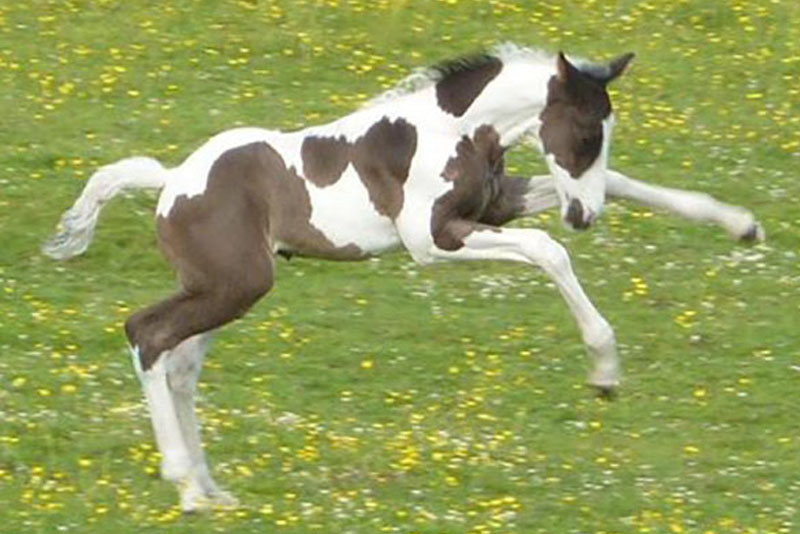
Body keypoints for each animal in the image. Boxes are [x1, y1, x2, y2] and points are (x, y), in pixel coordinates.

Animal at [42, 47, 764, 516]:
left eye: (605, 134)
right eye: (584, 132)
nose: (583, 217)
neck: (454, 131)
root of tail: (171, 183)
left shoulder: (493, 207)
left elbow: (622, 189)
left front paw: (741, 224)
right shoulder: (433, 240)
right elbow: (546, 251)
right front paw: (605, 369)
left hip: (224, 290)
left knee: (181, 365)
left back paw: (212, 488)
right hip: (231, 286)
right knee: (147, 335)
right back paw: (187, 488)